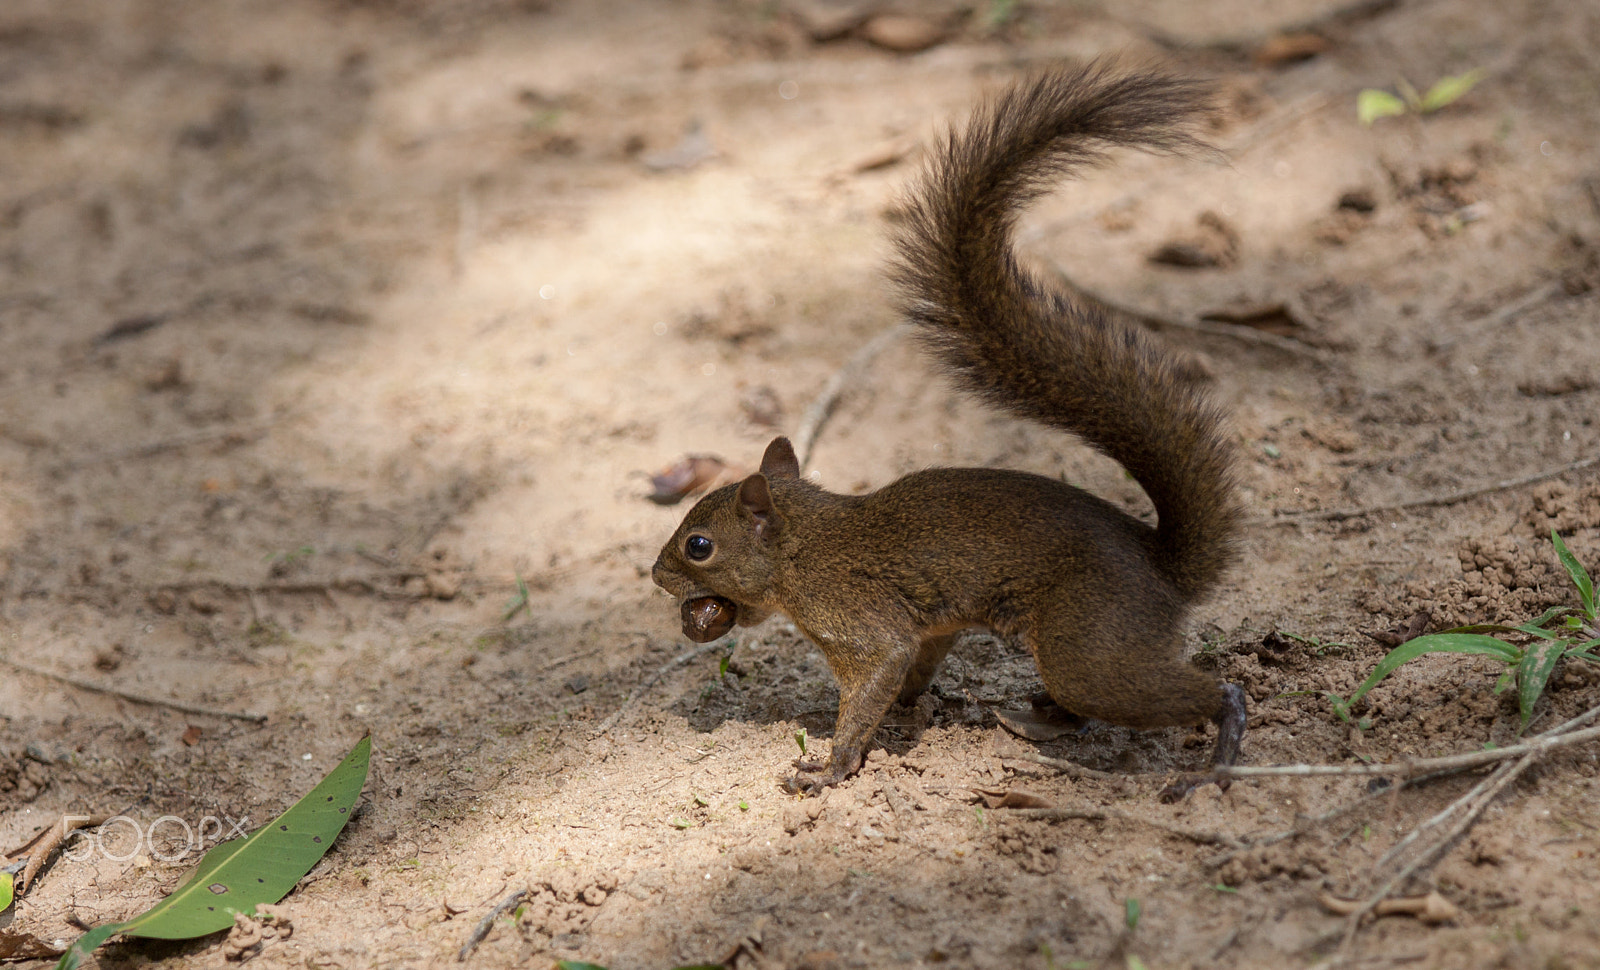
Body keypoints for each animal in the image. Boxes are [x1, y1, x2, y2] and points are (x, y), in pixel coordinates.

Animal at [652, 63, 1247, 800]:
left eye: (699, 546)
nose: (656, 575)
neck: (805, 545)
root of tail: (1165, 570)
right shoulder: (927, 625)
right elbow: (917, 664)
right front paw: (912, 708)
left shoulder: (858, 619)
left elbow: (874, 677)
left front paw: (832, 766)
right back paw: (1037, 714)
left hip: (1090, 649)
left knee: (1201, 692)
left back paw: (1214, 761)